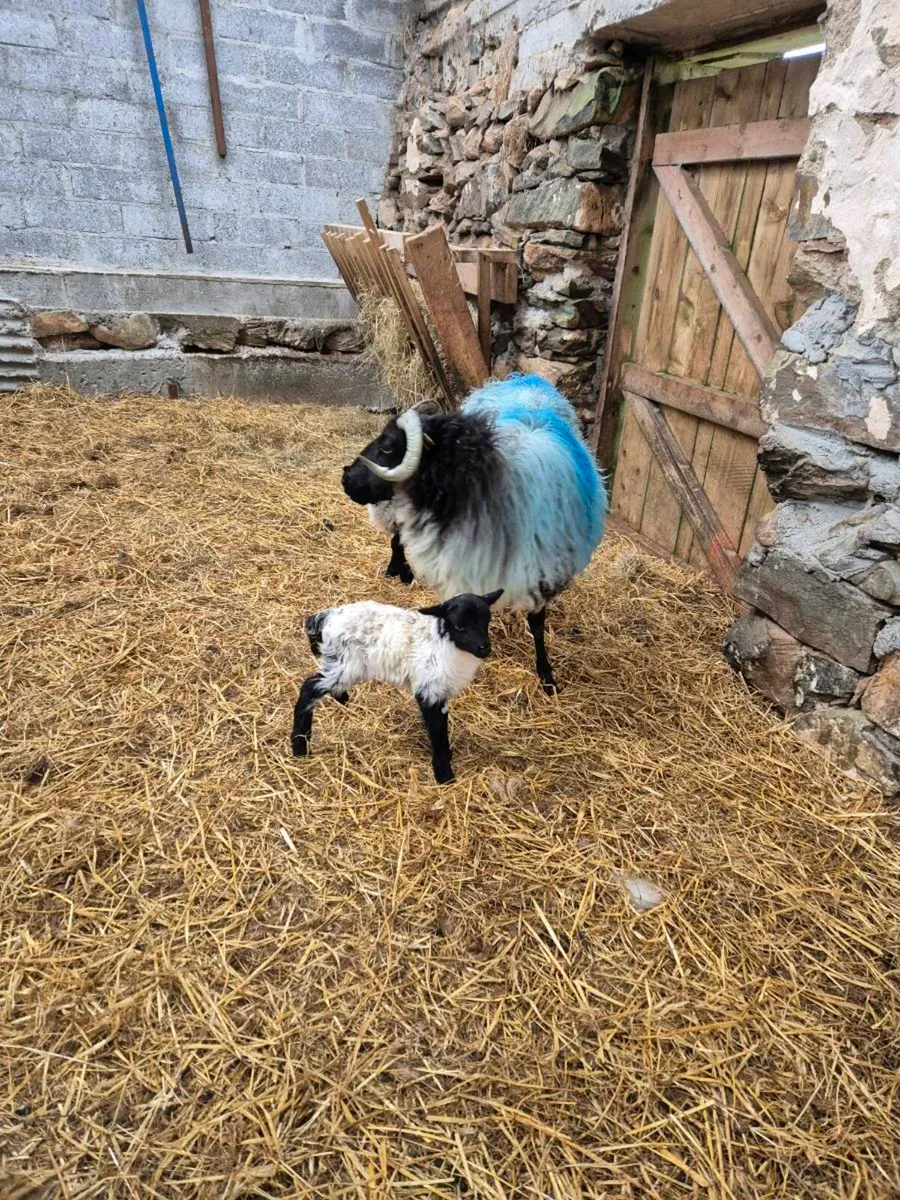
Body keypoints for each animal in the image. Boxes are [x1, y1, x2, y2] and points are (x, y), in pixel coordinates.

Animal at [291, 589, 503, 783]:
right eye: (460, 626)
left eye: (487, 621)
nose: (485, 648)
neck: (446, 643)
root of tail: (325, 617)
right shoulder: (429, 690)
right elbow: (438, 730)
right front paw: (444, 774)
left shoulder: (439, 693)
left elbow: (440, 727)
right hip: (344, 664)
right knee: (309, 689)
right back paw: (300, 746)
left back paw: (341, 699)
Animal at [341, 374, 607, 693]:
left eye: (388, 448)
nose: (347, 478)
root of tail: (527, 378)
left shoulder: (543, 574)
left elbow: (537, 623)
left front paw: (546, 675)